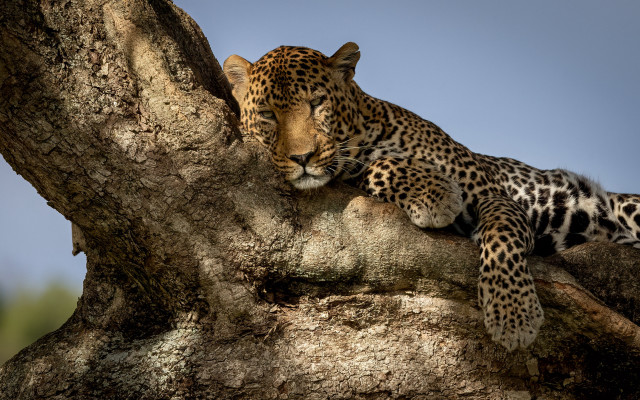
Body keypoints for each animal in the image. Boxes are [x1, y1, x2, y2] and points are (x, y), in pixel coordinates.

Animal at [223, 42, 640, 351]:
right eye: (267, 114)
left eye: (316, 103)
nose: (302, 158)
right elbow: (378, 168)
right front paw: (434, 193)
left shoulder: (494, 195)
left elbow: (502, 241)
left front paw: (513, 315)